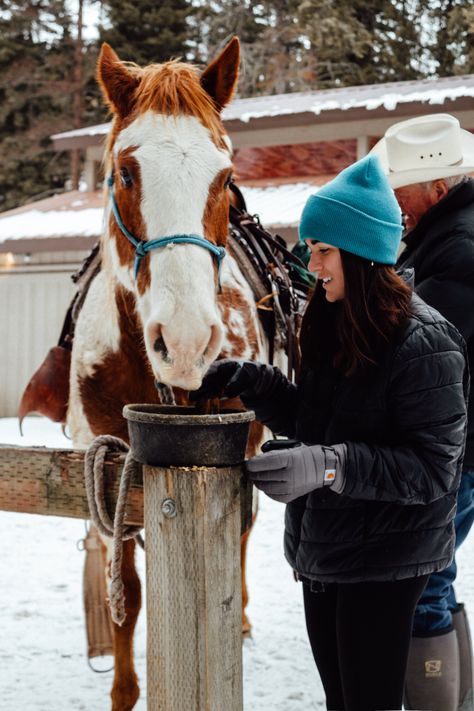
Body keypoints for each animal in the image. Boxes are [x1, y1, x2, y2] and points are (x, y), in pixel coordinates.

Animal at [67, 39, 274, 711]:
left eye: (226, 177)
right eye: (125, 172)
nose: (184, 341)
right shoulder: (104, 462)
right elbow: (128, 593)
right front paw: (124, 690)